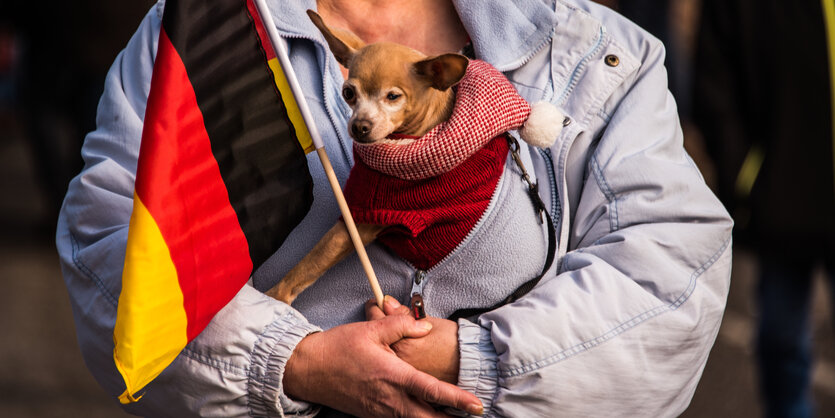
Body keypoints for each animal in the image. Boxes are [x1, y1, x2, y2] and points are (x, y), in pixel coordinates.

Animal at [264, 10, 466, 304]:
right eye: (348, 93)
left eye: (393, 96)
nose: (359, 126)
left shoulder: (362, 221)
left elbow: (307, 265)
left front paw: (274, 297)